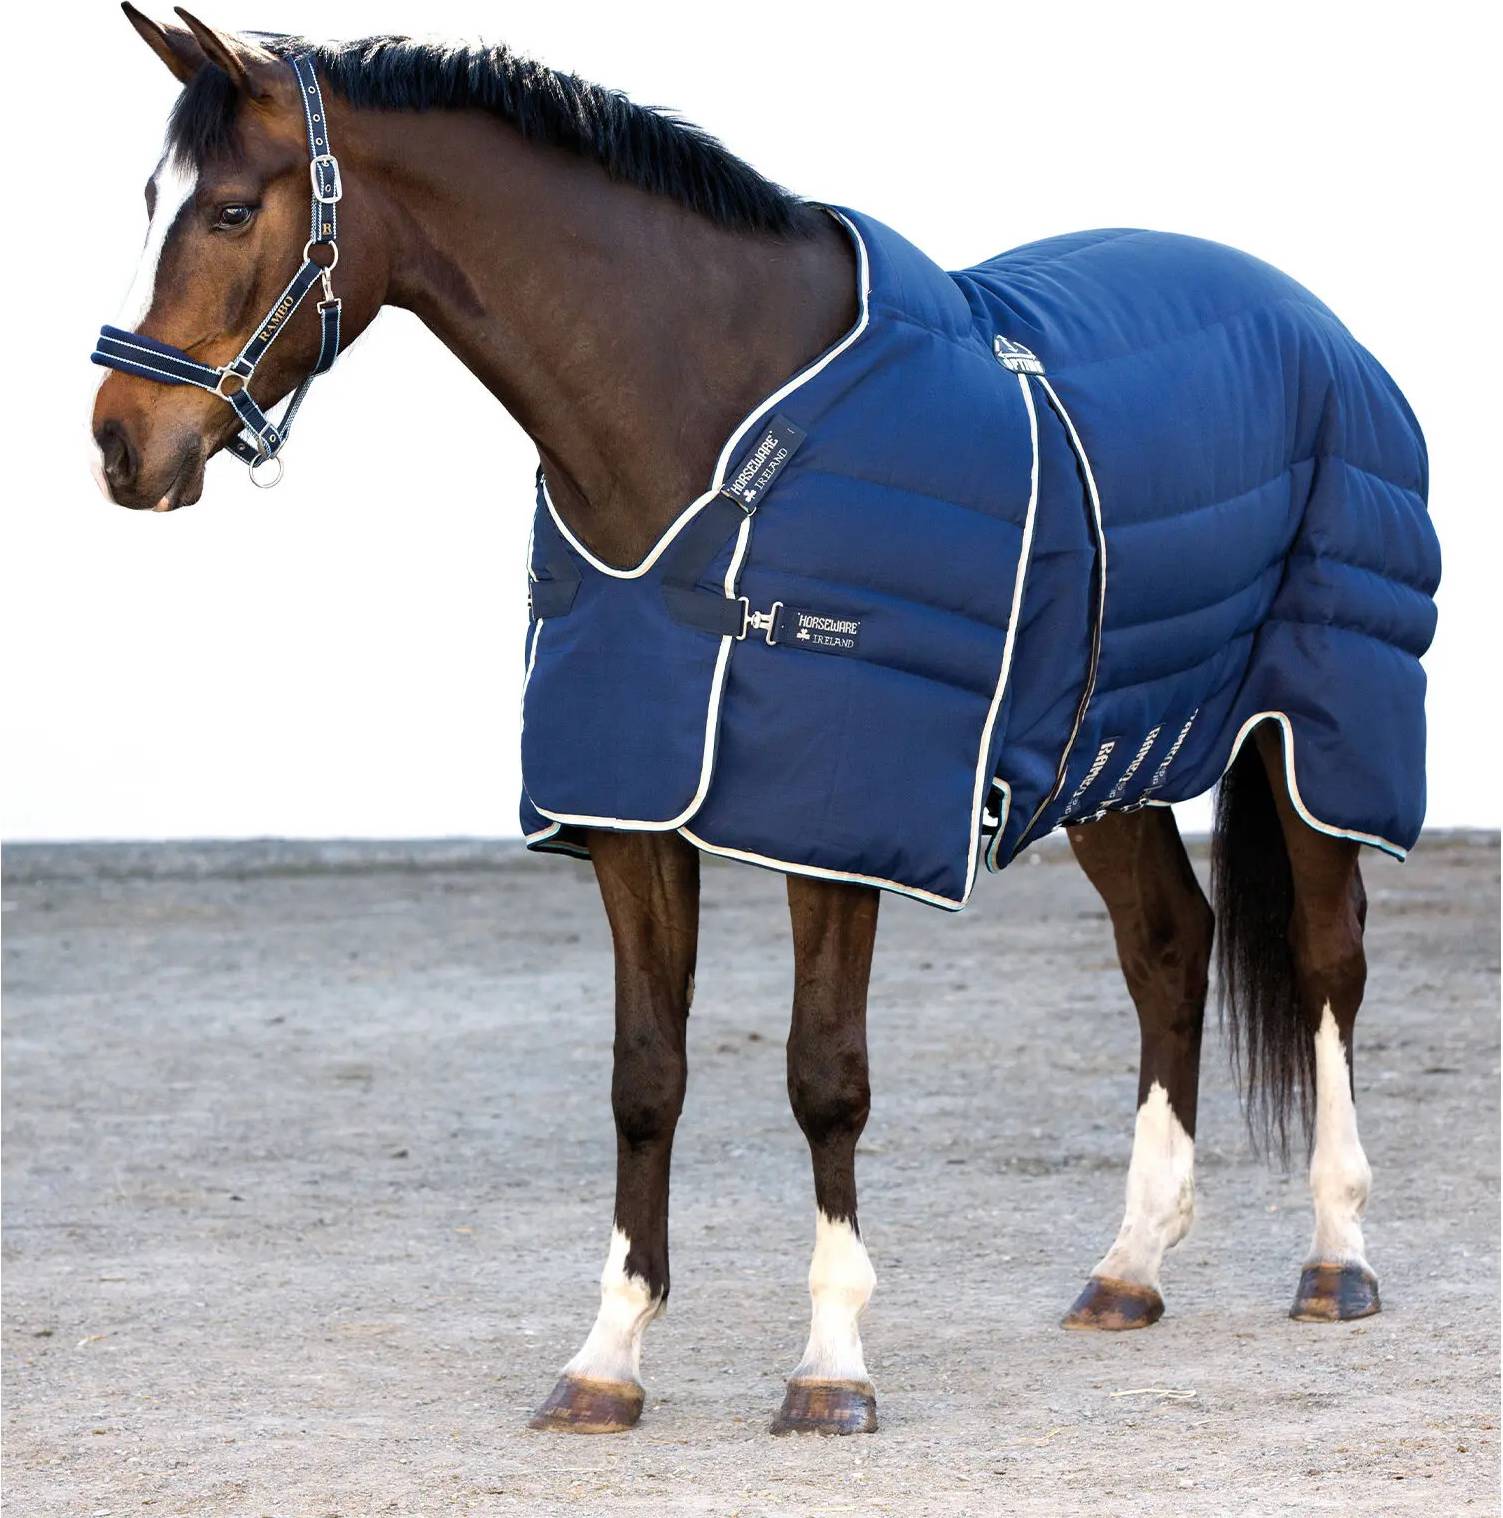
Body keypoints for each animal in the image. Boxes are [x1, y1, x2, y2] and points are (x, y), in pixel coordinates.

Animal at [90, 9, 1440, 1437]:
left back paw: (1337, 1259)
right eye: (149, 201)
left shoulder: (835, 828)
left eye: (233, 209)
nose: (121, 443)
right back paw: (1129, 1269)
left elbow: (823, 1078)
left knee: (1330, 957)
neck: (707, 438)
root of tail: (1317, 322)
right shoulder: (632, 812)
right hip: (1107, 744)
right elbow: (645, 1080)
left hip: (1316, 727)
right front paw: (606, 1361)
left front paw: (832, 1366)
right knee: (1171, 947)